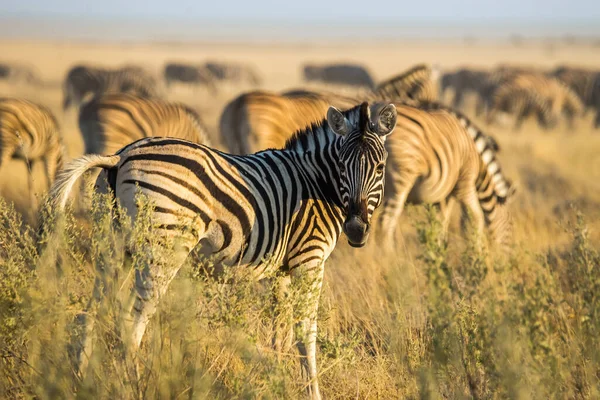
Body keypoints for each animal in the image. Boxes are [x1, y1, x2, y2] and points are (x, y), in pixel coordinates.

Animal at [44, 101, 396, 400]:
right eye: (342, 166)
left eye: (380, 168)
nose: (356, 229)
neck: (318, 185)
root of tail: (120, 156)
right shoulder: (309, 260)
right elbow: (304, 334)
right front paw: (309, 391)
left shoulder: (281, 271)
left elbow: (279, 334)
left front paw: (278, 382)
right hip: (163, 249)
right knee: (132, 326)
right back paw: (132, 389)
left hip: (115, 247)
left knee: (89, 314)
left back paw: (80, 382)